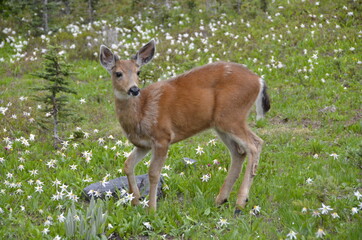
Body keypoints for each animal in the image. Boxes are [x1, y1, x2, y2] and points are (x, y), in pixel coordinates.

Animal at [99, 40, 268, 213]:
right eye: (118, 73)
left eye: (138, 72)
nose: (134, 89)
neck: (142, 112)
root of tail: (259, 80)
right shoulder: (143, 144)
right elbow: (128, 164)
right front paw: (135, 201)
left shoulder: (162, 137)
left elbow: (153, 173)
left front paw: (152, 209)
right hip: (221, 124)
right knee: (239, 152)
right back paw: (221, 199)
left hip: (232, 116)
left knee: (255, 144)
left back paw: (240, 202)